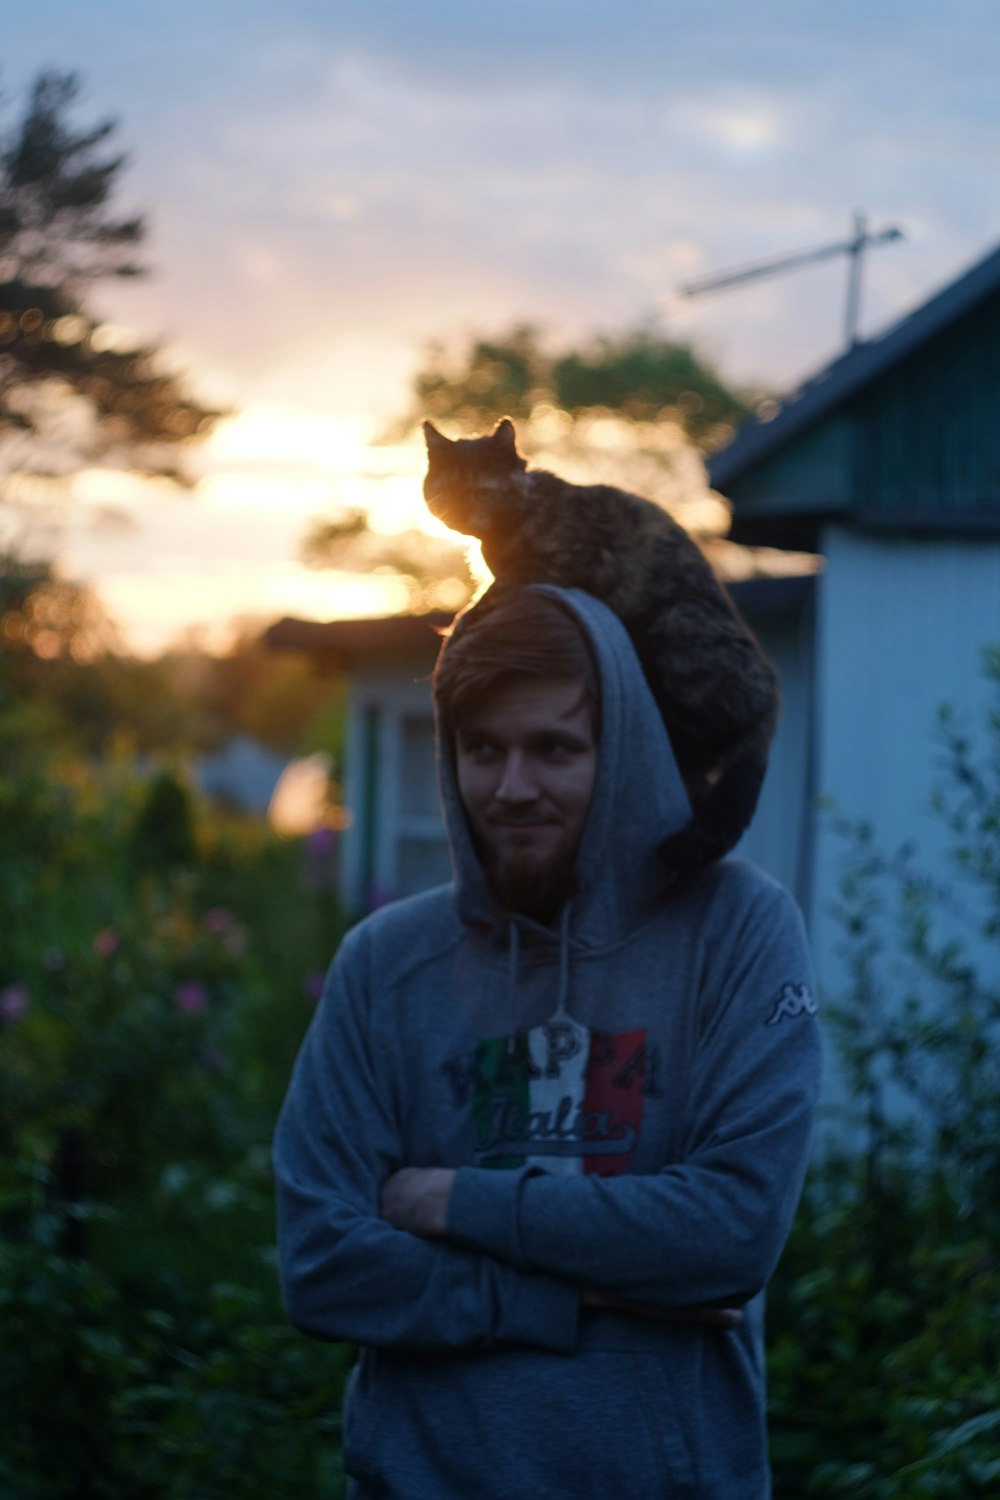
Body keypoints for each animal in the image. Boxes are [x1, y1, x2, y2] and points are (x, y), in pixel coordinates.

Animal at [422, 417, 779, 876]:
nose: (459, 514)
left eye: (483, 492)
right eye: (445, 491)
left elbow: (504, 584)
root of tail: (771, 698)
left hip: (672, 625)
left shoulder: (574, 562)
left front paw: (464, 617)